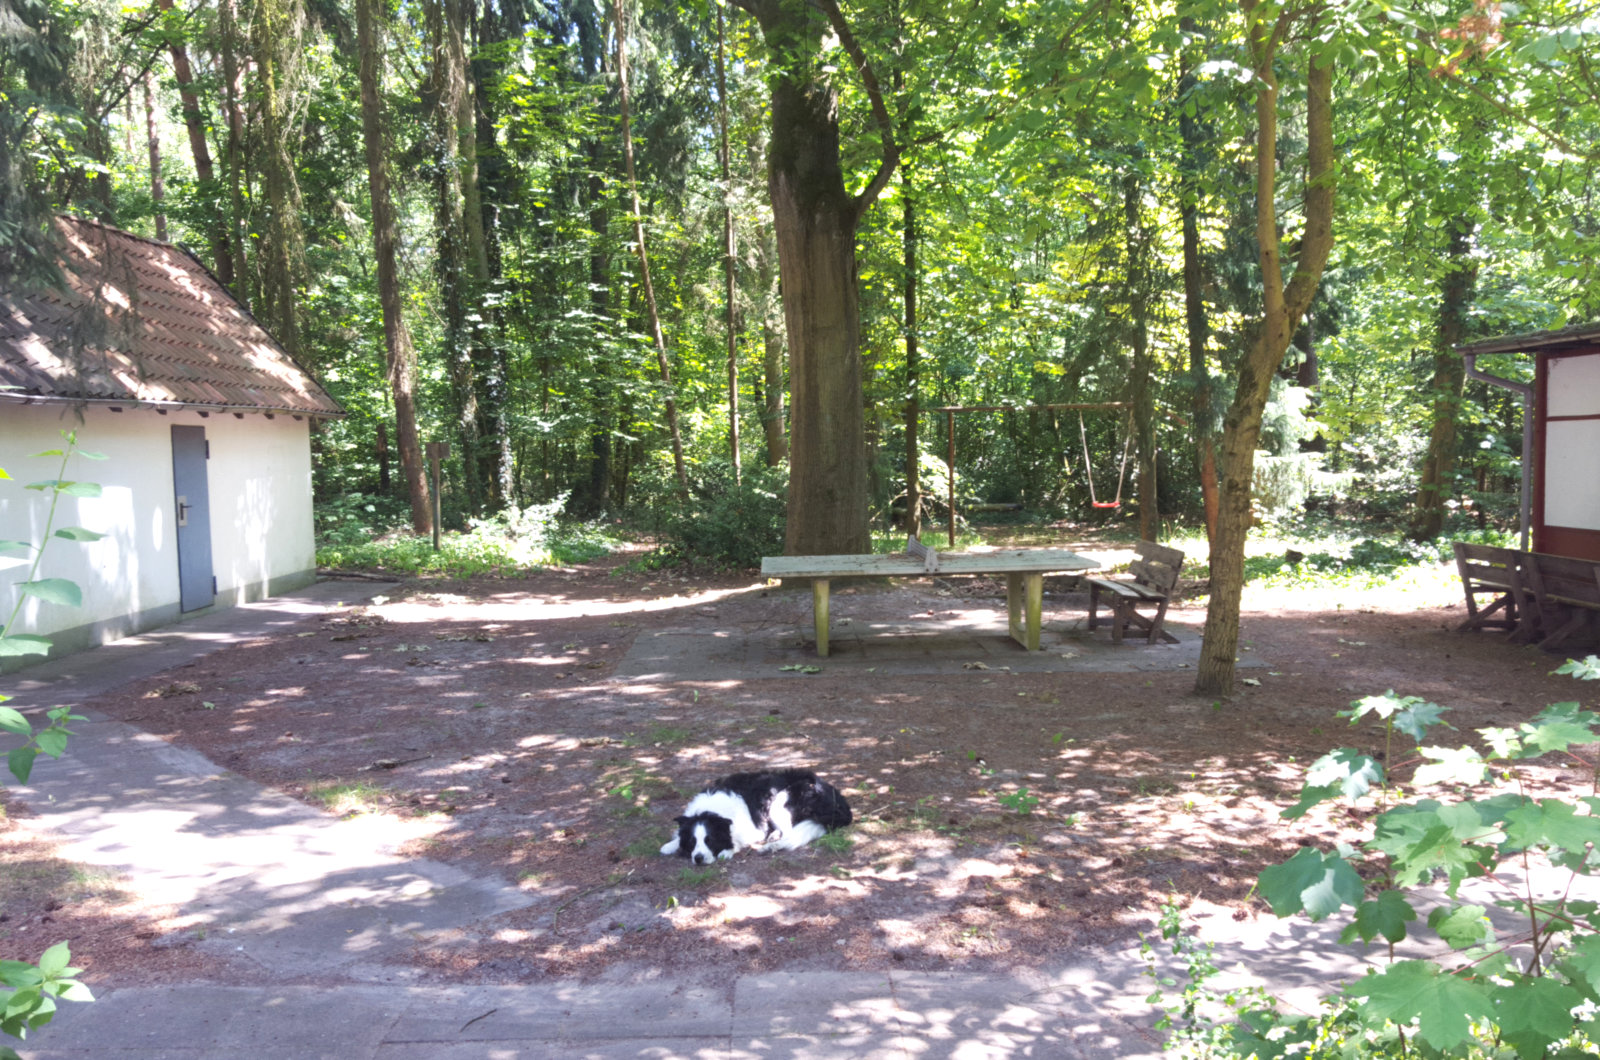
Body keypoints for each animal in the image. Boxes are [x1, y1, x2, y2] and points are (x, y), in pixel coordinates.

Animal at [660, 769, 852, 865]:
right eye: (692, 841)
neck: (712, 810)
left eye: (710, 840)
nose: (698, 859)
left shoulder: (754, 829)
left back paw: (771, 845)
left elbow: (736, 841)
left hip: (779, 801)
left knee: (789, 833)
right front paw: (670, 845)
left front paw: (727, 851)